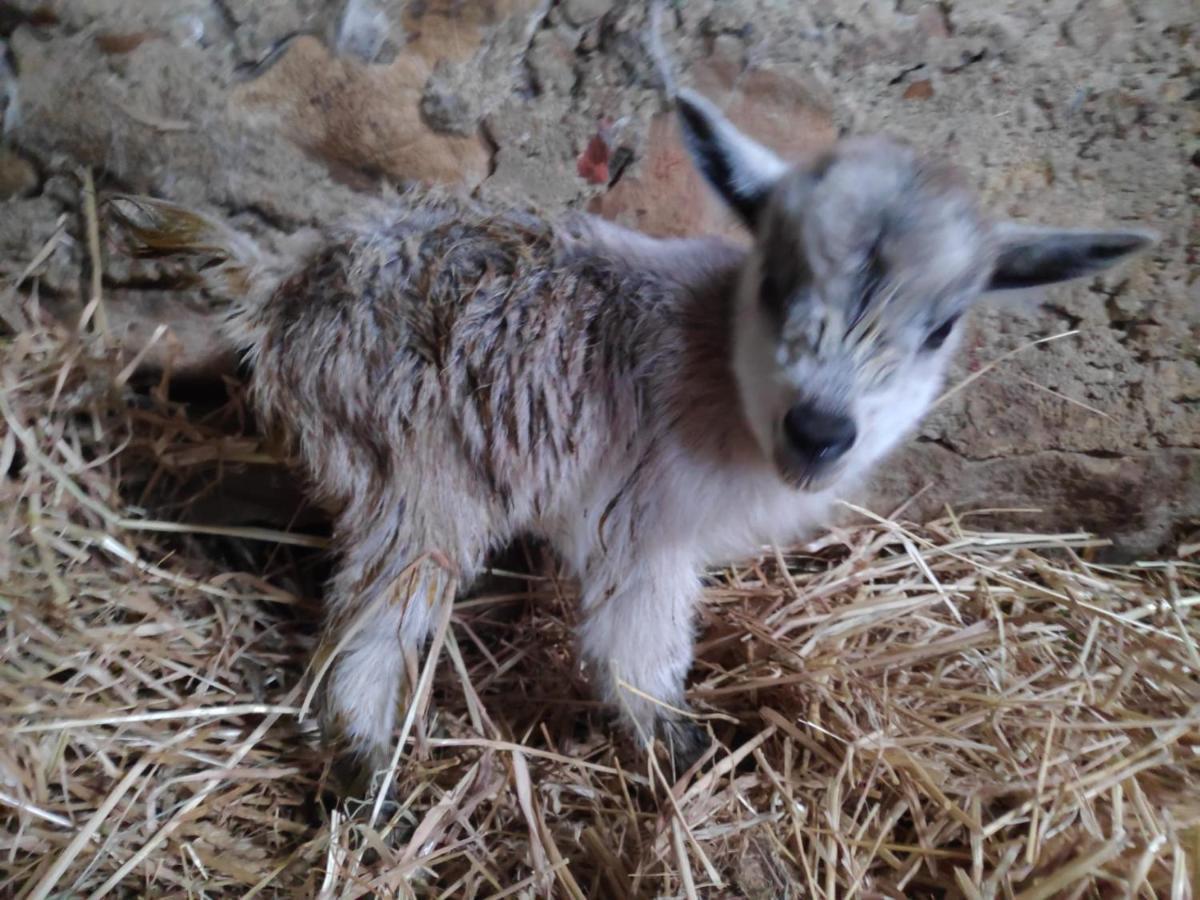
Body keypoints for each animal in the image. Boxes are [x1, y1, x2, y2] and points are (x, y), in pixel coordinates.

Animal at [114, 86, 1152, 787]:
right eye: (778, 282)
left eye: (941, 328)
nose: (822, 430)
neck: (716, 366)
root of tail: (283, 287)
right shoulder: (645, 527)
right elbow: (638, 653)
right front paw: (682, 752)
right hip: (423, 478)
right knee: (369, 625)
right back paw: (368, 774)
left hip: (363, 460)